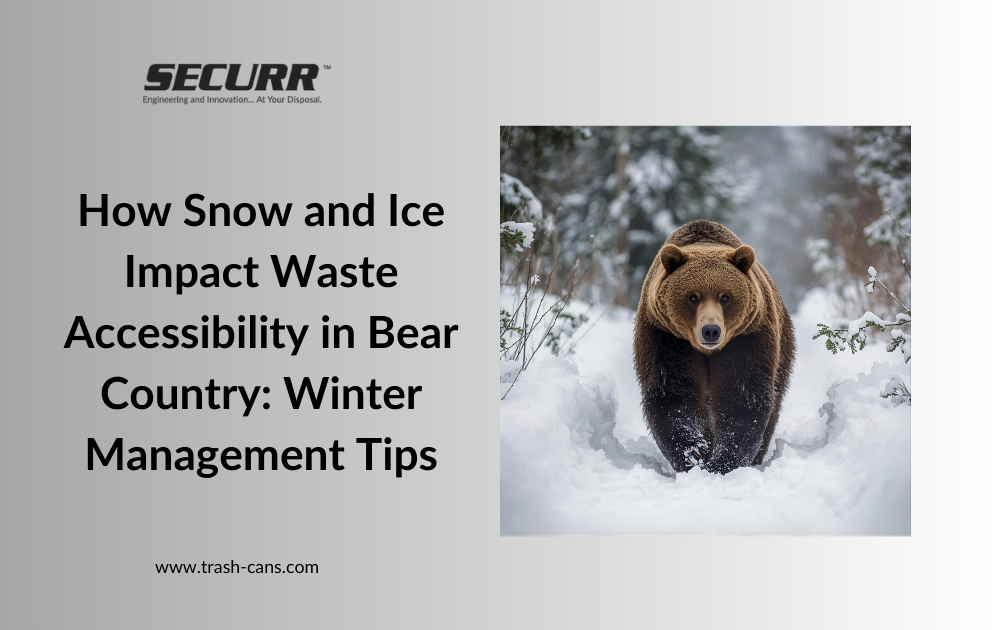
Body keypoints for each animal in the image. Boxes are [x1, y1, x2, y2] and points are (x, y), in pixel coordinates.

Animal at [633, 220, 795, 475]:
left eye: (725, 297)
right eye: (693, 297)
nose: (711, 330)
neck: (707, 352)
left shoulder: (746, 339)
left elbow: (743, 394)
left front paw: (722, 461)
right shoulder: (666, 337)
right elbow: (672, 392)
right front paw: (694, 453)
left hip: (782, 348)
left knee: (774, 404)